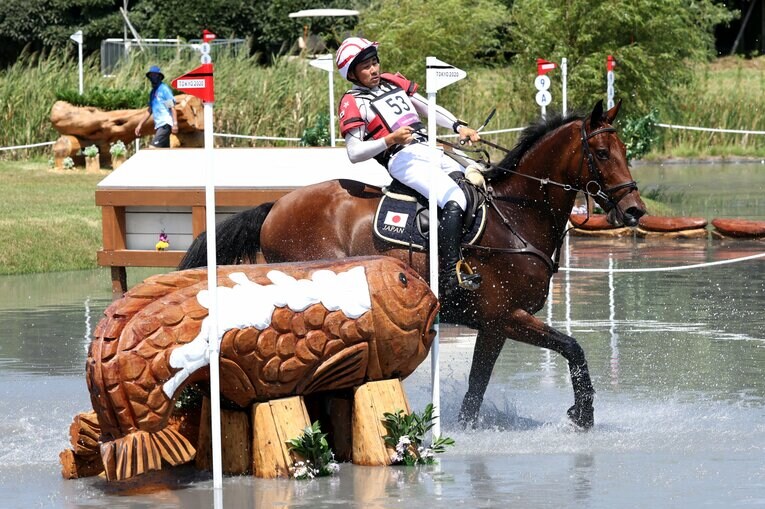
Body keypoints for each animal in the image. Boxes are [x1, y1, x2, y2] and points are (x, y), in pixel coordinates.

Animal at [179, 100, 646, 429]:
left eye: (625, 149)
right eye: (601, 152)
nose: (635, 210)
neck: (516, 216)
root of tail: (276, 206)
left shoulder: (493, 326)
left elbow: (477, 387)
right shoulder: (507, 316)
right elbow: (573, 348)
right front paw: (582, 415)